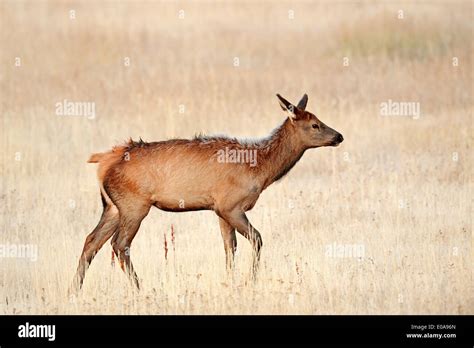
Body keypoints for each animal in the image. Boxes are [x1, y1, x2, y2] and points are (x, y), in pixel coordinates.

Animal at [71, 94, 344, 292]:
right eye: (315, 124)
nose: (339, 136)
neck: (260, 169)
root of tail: (104, 162)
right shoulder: (230, 205)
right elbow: (256, 238)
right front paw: (251, 281)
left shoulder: (219, 210)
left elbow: (229, 247)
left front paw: (231, 282)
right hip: (134, 204)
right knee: (119, 244)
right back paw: (139, 288)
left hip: (113, 207)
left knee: (91, 241)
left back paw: (74, 290)